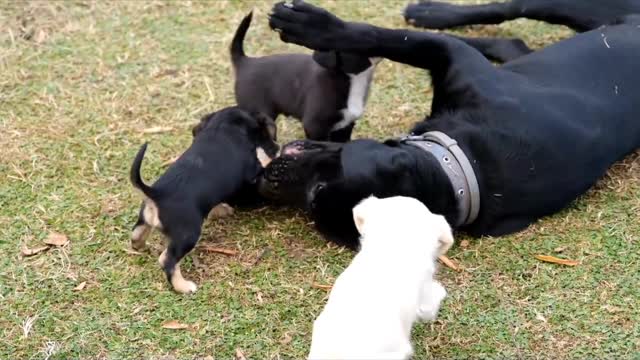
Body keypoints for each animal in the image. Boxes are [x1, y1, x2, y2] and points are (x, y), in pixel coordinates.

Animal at [129, 107, 278, 292]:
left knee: (136, 235)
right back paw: (184, 287)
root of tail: (156, 193)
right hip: (188, 235)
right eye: (266, 133)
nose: (277, 148)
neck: (221, 128)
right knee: (167, 260)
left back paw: (142, 247)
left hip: (144, 220)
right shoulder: (252, 169)